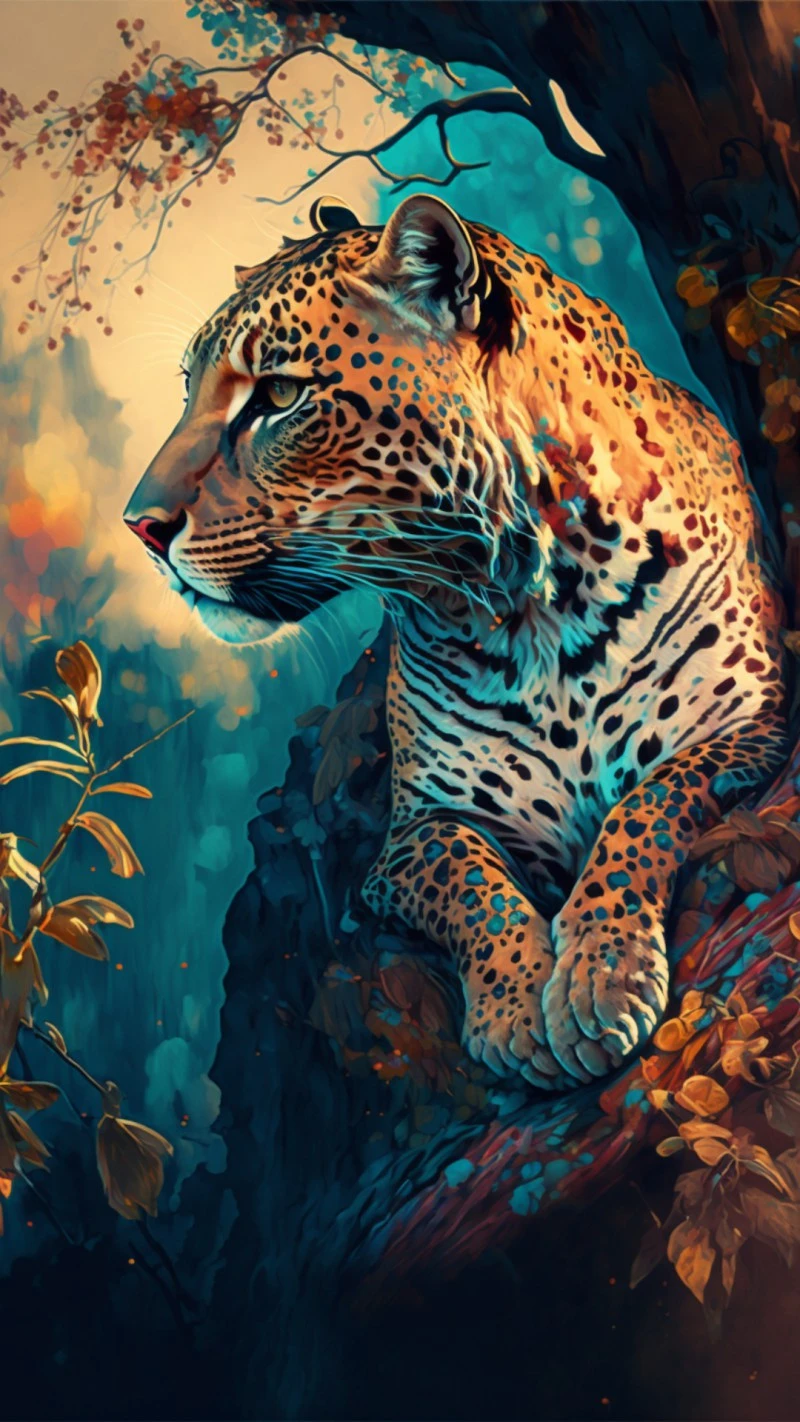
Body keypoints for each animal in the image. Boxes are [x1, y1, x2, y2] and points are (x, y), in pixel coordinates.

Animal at [125, 192, 788, 1090]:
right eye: (191, 390)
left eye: (280, 395)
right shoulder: (415, 832)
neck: (536, 610)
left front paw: (599, 976)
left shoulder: (751, 725)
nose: (139, 527)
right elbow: (473, 883)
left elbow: (646, 804)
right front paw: (516, 1009)